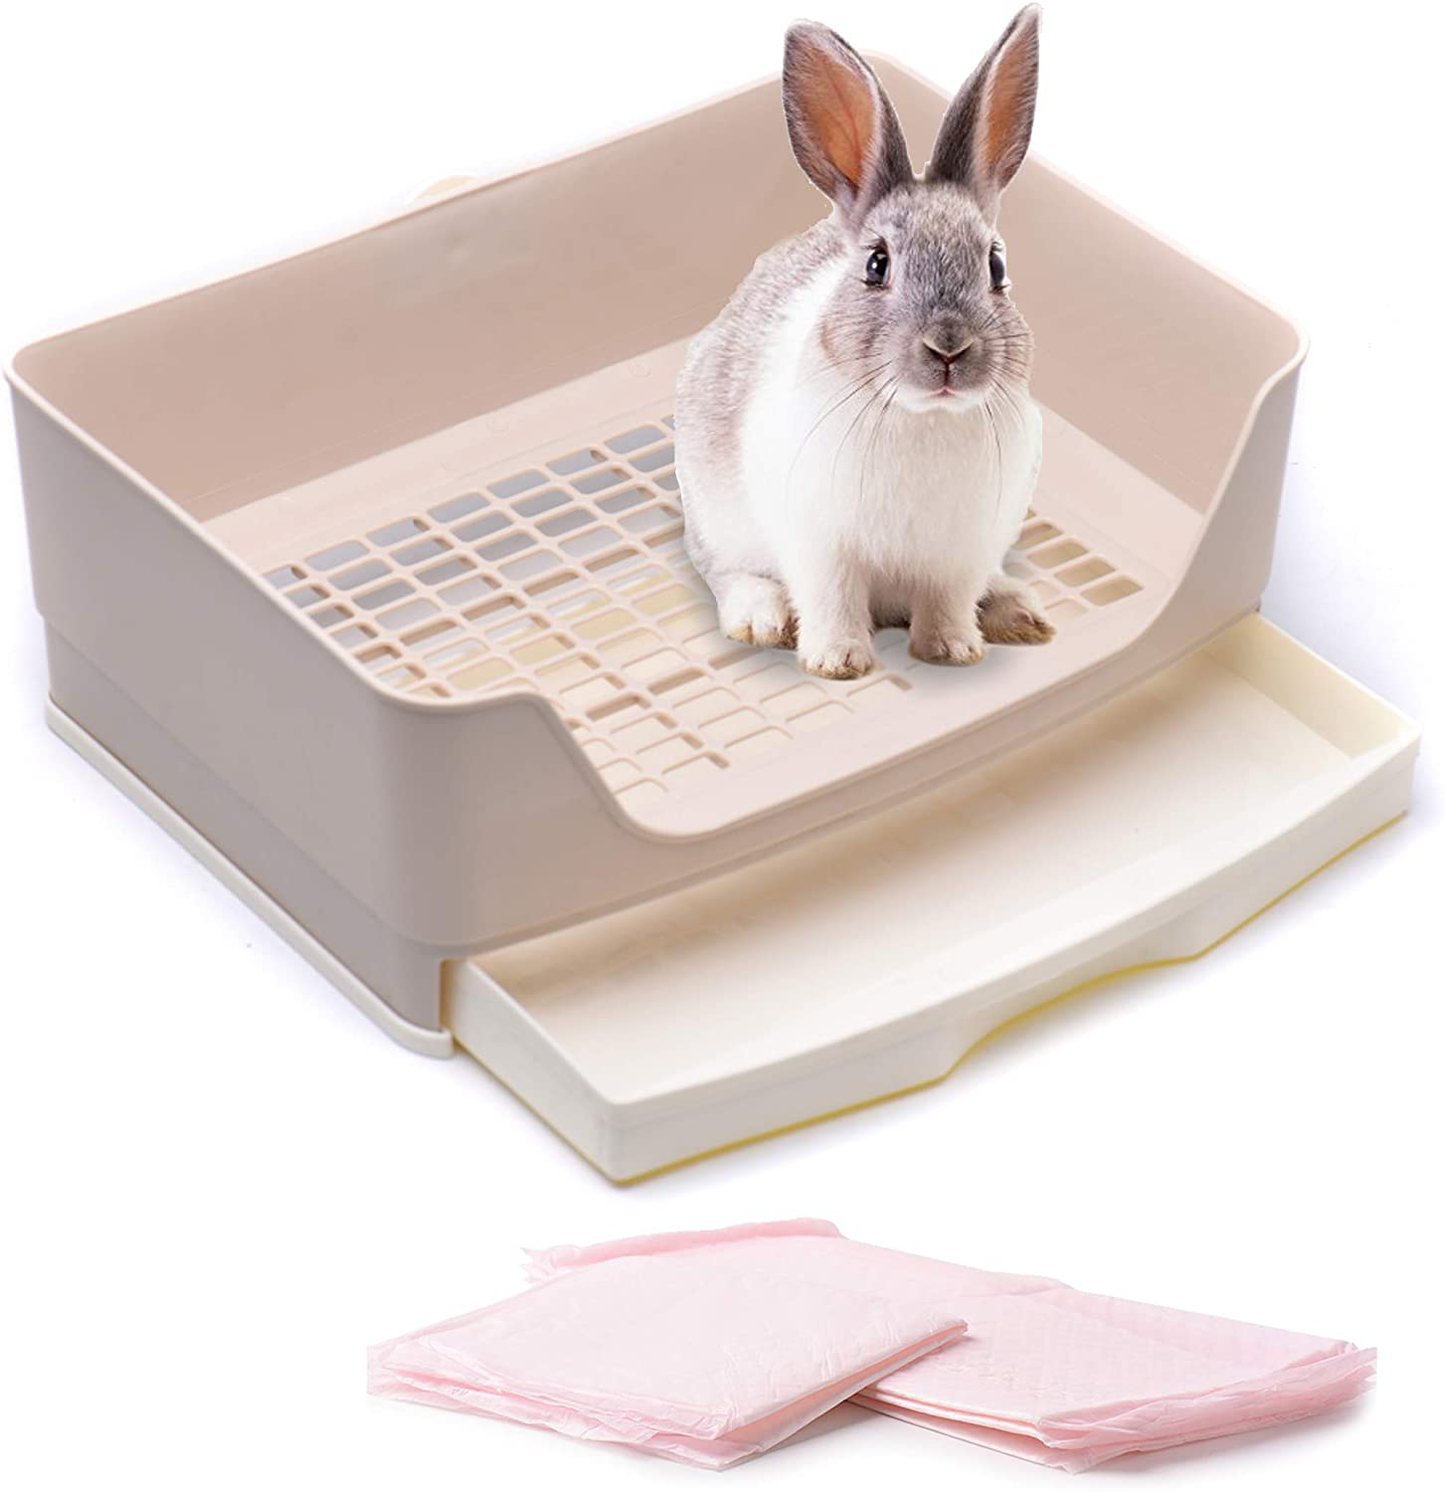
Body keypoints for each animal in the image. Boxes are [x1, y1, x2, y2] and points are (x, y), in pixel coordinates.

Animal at [675, 6, 1054, 680]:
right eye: (877, 264)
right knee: (726, 572)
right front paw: (838, 662)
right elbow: (832, 599)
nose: (948, 348)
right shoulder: (820, 547)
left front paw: (953, 652)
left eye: (996, 266)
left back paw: (1018, 613)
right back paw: (760, 618)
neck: (923, 416)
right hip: (716, 521)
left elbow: (948, 601)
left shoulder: (961, 553)